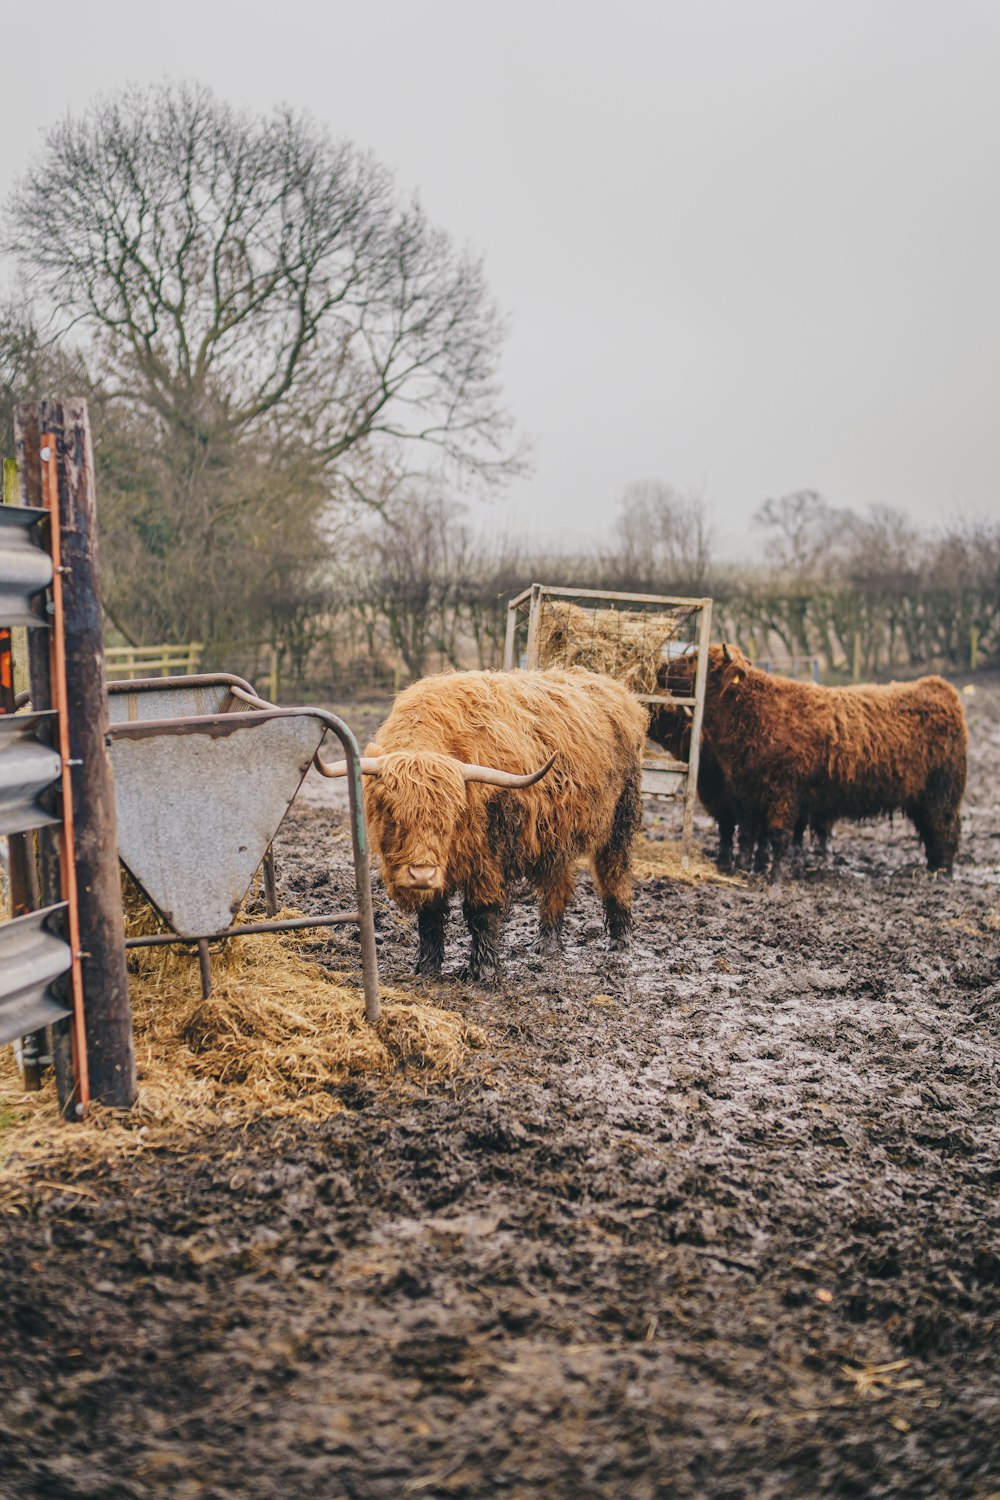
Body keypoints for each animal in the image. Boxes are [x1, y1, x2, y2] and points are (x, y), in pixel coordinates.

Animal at [319, 672, 650, 984]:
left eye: (451, 817)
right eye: (392, 813)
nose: (421, 875)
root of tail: (617, 690)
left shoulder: (487, 856)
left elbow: (482, 913)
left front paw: (484, 971)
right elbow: (430, 916)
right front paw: (426, 968)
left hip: (620, 821)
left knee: (614, 875)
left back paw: (621, 941)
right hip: (555, 835)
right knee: (557, 884)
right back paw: (546, 943)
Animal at [656, 645, 971, 876]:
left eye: (698, 659)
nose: (660, 668)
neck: (753, 714)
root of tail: (938, 686)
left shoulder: (782, 792)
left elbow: (778, 835)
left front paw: (775, 874)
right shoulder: (745, 793)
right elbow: (746, 835)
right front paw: (744, 869)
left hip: (942, 793)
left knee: (946, 828)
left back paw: (942, 872)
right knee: (932, 829)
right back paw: (933, 866)